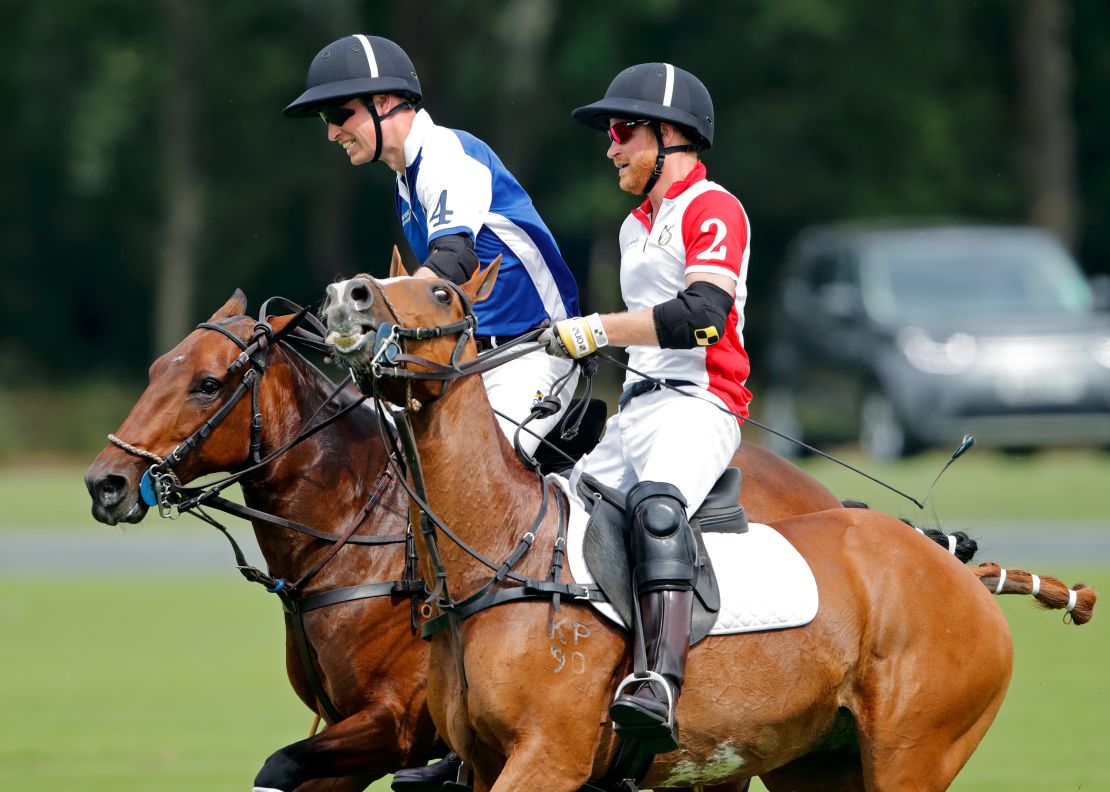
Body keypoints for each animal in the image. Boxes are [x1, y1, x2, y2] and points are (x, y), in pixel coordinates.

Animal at [86, 290, 861, 789]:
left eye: (208, 383)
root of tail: (835, 501)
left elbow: (278, 765)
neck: (356, 530)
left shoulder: (393, 724)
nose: (105, 484)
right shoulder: (346, 733)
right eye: (156, 369)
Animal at [324, 254, 1096, 789]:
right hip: (816, 764)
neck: (500, 551)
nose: (345, 294)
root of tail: (954, 566)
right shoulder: (484, 764)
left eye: (444, 293)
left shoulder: (548, 756)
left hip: (916, 754)